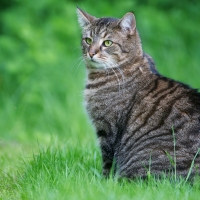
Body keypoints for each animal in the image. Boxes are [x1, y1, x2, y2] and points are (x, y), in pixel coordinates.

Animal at [76, 8, 200, 180]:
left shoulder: (107, 129)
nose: (91, 53)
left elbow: (107, 162)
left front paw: (102, 181)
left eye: (107, 43)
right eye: (88, 40)